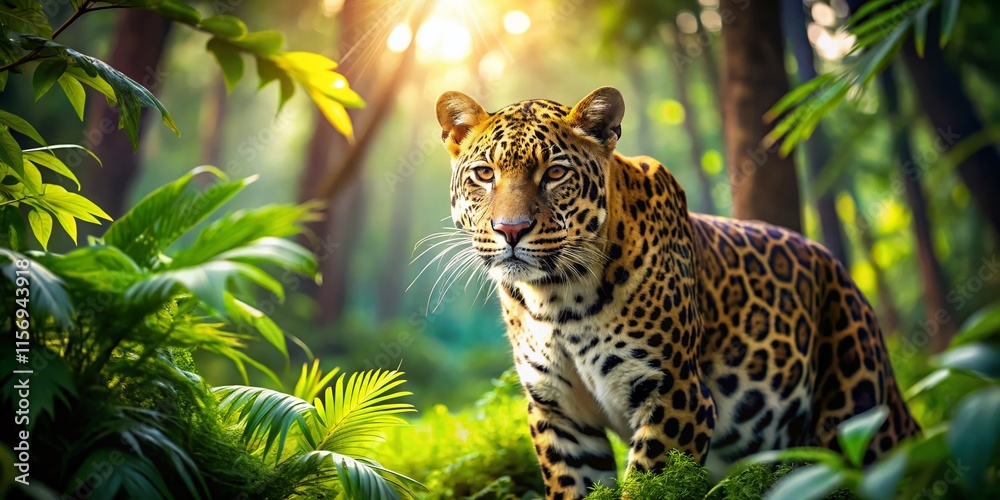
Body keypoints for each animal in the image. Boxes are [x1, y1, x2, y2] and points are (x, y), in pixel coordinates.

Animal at [433, 86, 920, 499]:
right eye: (484, 174)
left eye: (554, 173)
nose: (510, 229)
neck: (557, 298)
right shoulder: (558, 413)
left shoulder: (675, 395)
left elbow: (648, 487)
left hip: (859, 412)